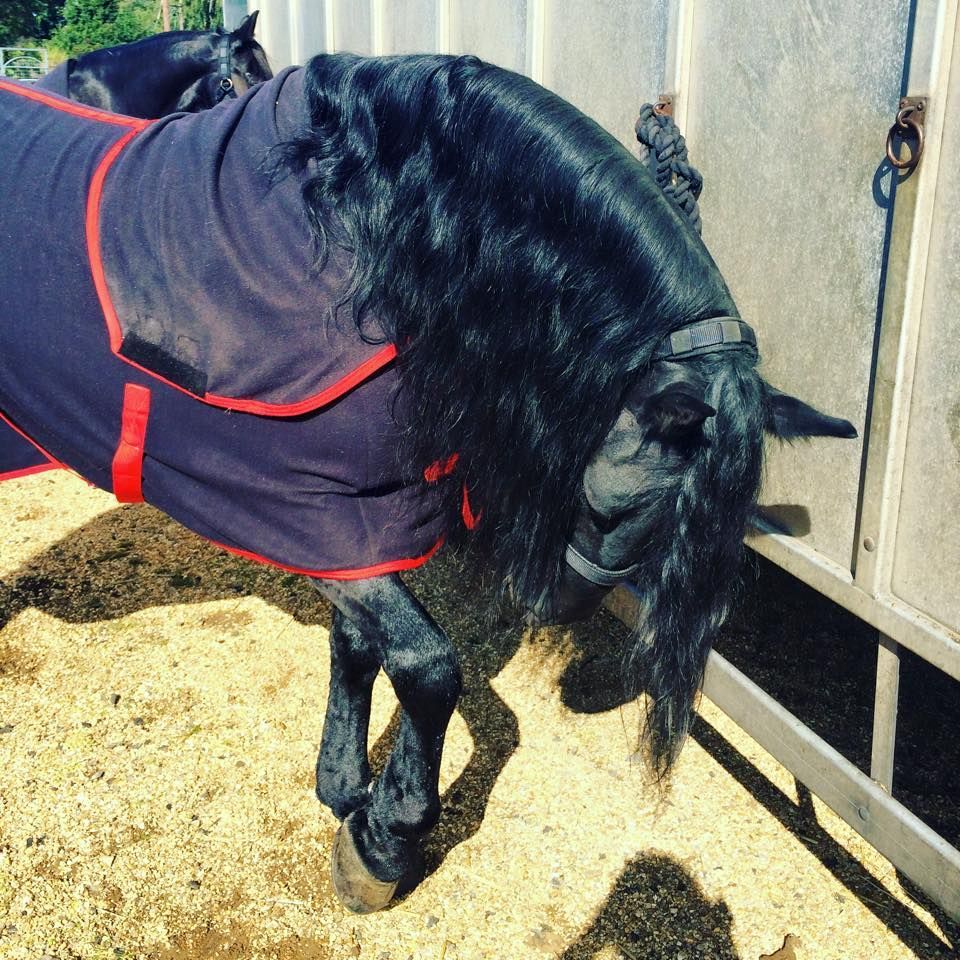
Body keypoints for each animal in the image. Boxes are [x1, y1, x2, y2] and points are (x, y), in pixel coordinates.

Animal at [0, 54, 857, 914]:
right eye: (624, 505)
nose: (552, 605)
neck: (364, 232)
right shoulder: (297, 507)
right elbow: (427, 667)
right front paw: (386, 839)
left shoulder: (353, 520)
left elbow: (358, 649)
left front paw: (345, 787)